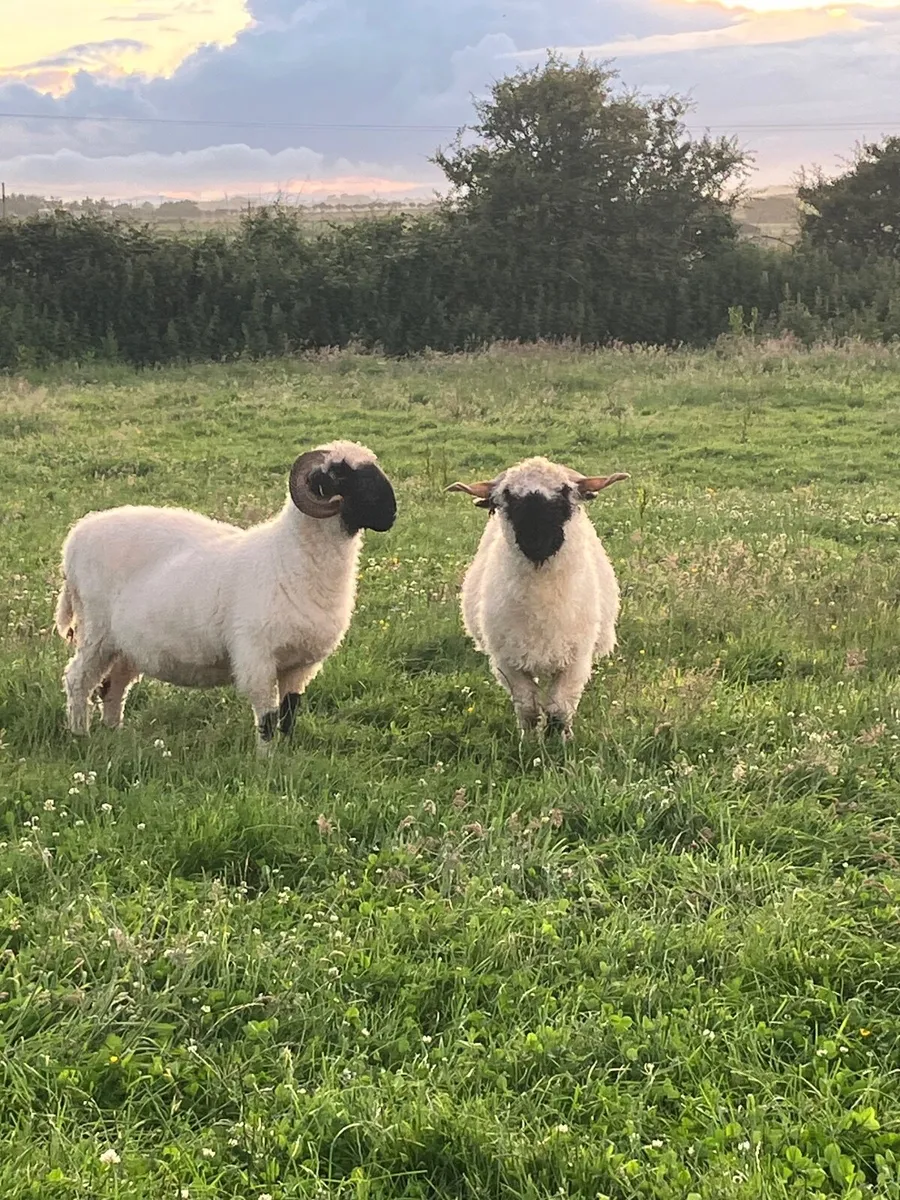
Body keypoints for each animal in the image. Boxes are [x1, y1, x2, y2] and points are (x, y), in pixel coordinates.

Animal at [54, 440, 397, 750]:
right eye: (340, 475)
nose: (390, 514)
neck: (289, 556)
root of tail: (76, 536)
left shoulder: (300, 665)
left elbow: (289, 714)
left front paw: (286, 756)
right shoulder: (257, 656)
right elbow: (267, 718)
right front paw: (266, 761)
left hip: (127, 645)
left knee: (113, 686)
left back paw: (115, 733)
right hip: (96, 631)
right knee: (77, 680)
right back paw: (80, 734)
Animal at [447, 456, 628, 740]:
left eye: (565, 491)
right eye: (507, 496)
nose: (536, 540)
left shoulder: (575, 660)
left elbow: (559, 709)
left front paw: (559, 740)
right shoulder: (508, 662)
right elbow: (528, 708)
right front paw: (530, 741)